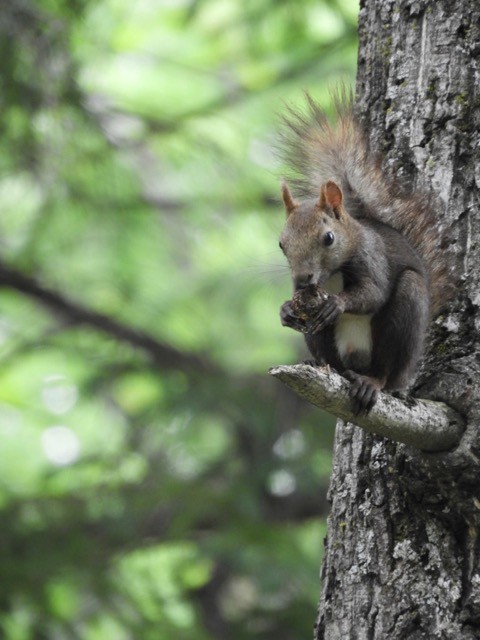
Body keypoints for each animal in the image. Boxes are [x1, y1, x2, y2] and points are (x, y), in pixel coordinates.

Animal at [278, 94, 450, 416]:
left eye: (328, 238)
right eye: (281, 244)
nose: (304, 278)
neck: (332, 274)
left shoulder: (373, 257)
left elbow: (374, 292)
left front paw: (337, 303)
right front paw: (285, 311)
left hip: (403, 318)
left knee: (385, 371)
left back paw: (371, 382)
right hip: (321, 337)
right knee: (331, 359)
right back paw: (322, 365)